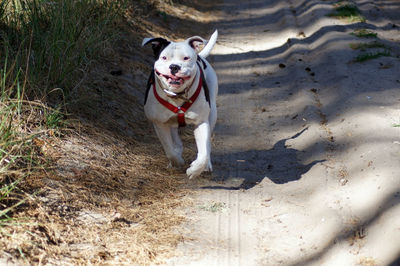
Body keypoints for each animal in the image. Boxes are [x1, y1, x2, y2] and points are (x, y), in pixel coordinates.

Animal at [142, 30, 219, 179]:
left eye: (186, 58)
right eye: (164, 57)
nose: (174, 66)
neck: (177, 95)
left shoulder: (201, 122)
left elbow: (203, 154)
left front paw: (194, 170)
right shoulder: (160, 123)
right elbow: (169, 149)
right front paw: (177, 162)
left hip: (212, 114)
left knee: (207, 146)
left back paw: (206, 165)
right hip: (170, 123)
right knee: (175, 142)